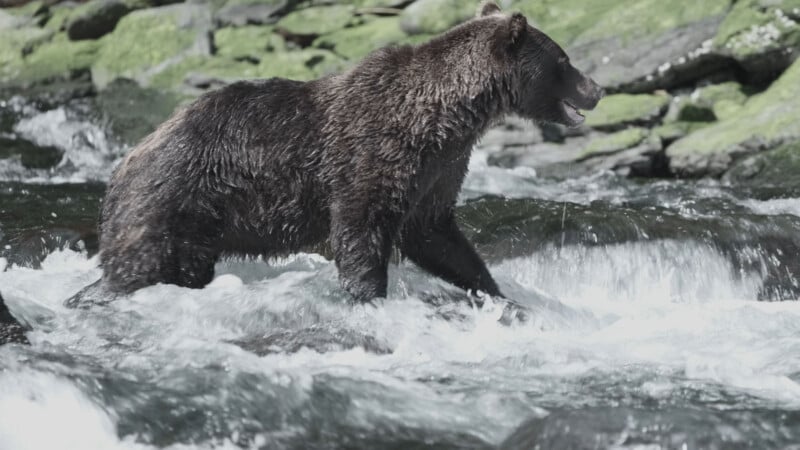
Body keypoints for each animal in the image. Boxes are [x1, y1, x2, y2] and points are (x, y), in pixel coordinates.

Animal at [73, 1, 604, 306]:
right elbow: (359, 229)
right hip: (173, 196)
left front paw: (494, 290)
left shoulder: (439, 168)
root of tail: (123, 162)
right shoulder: (373, 152)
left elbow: (435, 233)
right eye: (564, 59)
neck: (446, 115)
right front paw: (368, 297)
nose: (596, 89)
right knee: (140, 264)